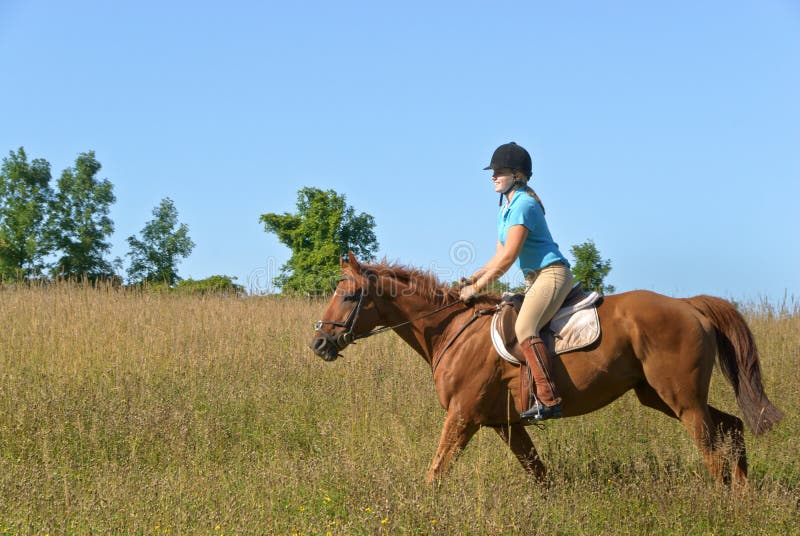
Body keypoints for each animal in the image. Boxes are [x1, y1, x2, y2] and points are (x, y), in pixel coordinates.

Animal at [310, 253, 780, 488]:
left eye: (349, 296)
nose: (319, 343)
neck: (451, 330)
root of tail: (688, 305)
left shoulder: (462, 416)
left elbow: (436, 471)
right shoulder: (505, 423)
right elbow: (538, 473)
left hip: (681, 399)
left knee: (712, 454)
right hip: (659, 395)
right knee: (733, 426)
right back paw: (743, 498)